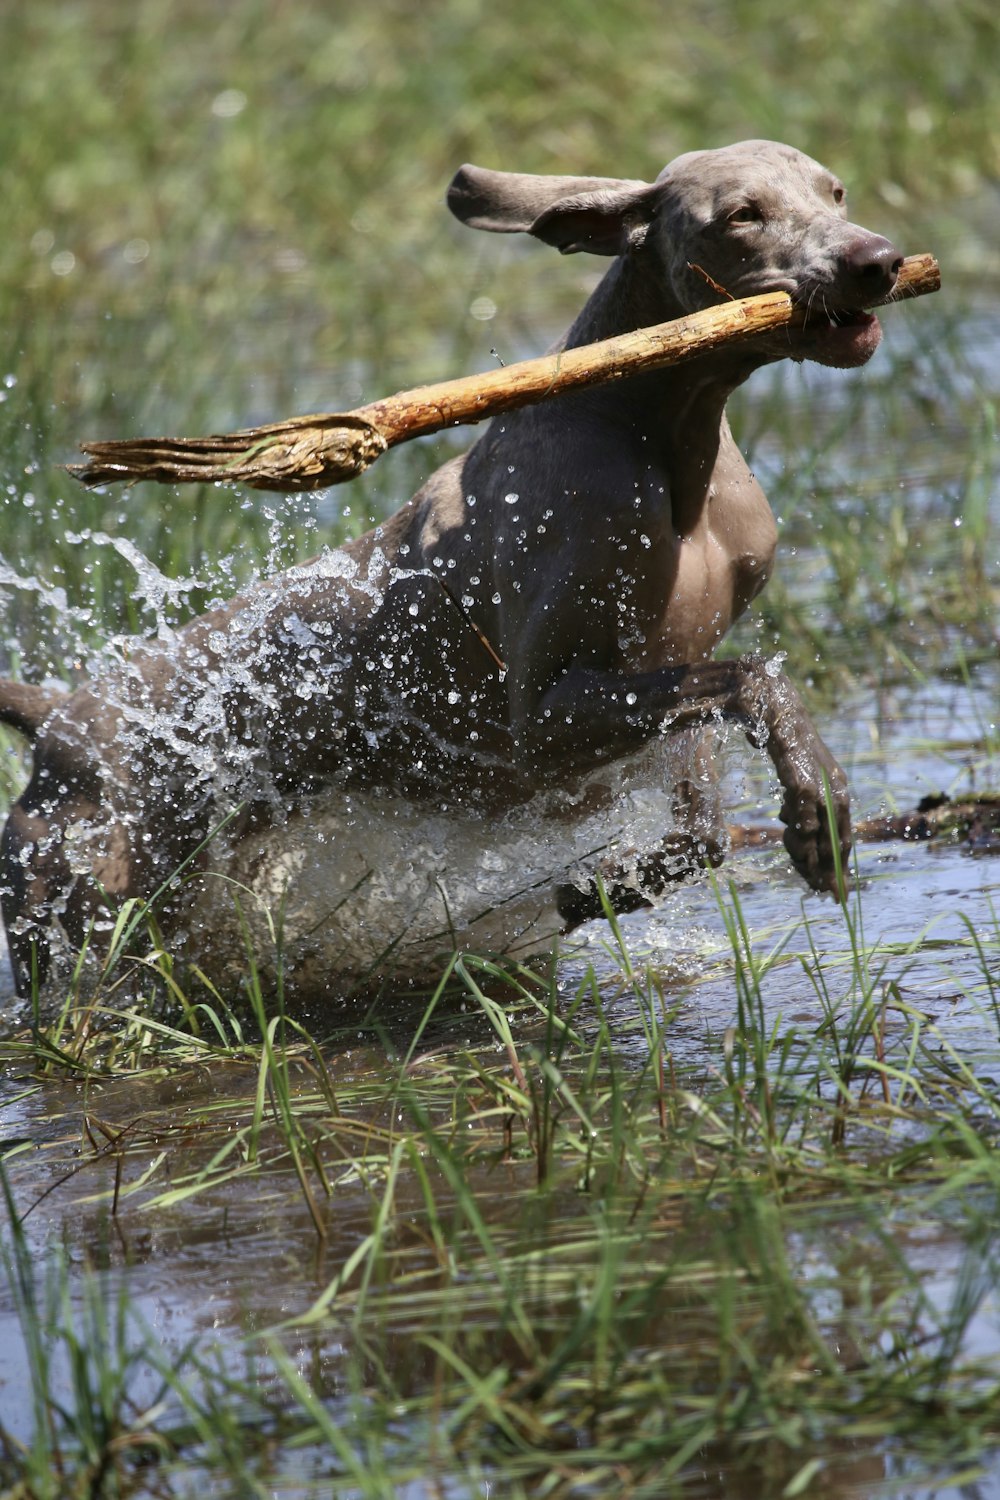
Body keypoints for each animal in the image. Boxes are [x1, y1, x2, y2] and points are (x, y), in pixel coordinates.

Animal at [1, 141, 905, 996]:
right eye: (744, 214)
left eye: (835, 192)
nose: (881, 260)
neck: (657, 439)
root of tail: (59, 716)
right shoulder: (541, 724)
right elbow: (756, 677)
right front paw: (818, 805)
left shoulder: (669, 668)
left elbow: (705, 829)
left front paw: (601, 888)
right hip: (79, 885)